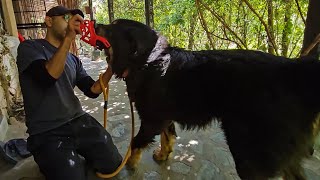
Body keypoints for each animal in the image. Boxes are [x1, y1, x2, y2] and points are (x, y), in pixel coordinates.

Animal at [95, 19, 320, 179]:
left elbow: (136, 142)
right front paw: (163, 155)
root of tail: (292, 69)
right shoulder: (165, 116)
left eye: (112, 27)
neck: (147, 61)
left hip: (248, 151)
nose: (95, 23)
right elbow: (168, 137)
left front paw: (130, 163)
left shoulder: (152, 120)